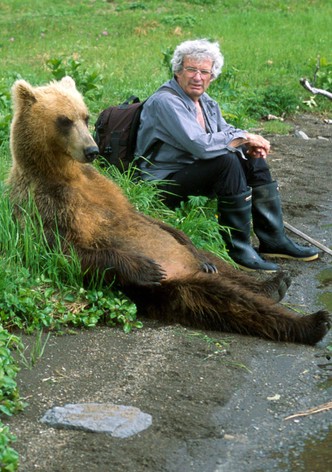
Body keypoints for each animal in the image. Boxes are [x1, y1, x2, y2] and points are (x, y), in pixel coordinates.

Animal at [7, 76, 330, 342]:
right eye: (64, 120)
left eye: (85, 116)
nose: (92, 150)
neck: (64, 173)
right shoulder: (46, 204)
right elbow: (64, 252)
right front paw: (145, 267)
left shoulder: (105, 189)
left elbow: (142, 216)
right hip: (177, 288)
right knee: (229, 302)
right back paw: (312, 321)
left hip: (193, 263)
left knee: (222, 264)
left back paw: (272, 282)